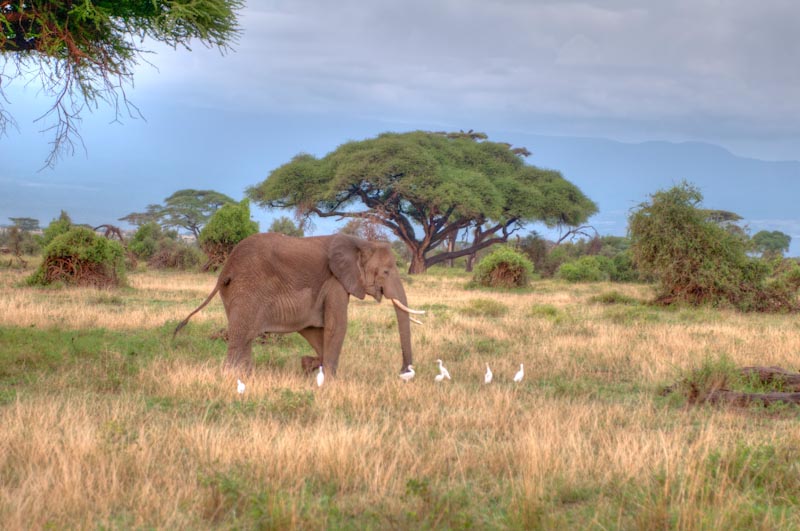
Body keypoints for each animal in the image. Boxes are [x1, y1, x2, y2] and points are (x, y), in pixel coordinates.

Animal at [172, 234, 422, 378]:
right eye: (386, 272)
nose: (403, 371)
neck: (361, 244)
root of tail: (226, 268)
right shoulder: (335, 281)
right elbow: (337, 326)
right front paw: (329, 380)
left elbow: (314, 329)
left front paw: (309, 366)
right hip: (247, 287)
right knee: (241, 335)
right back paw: (232, 378)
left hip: (233, 292)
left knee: (244, 335)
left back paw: (247, 377)